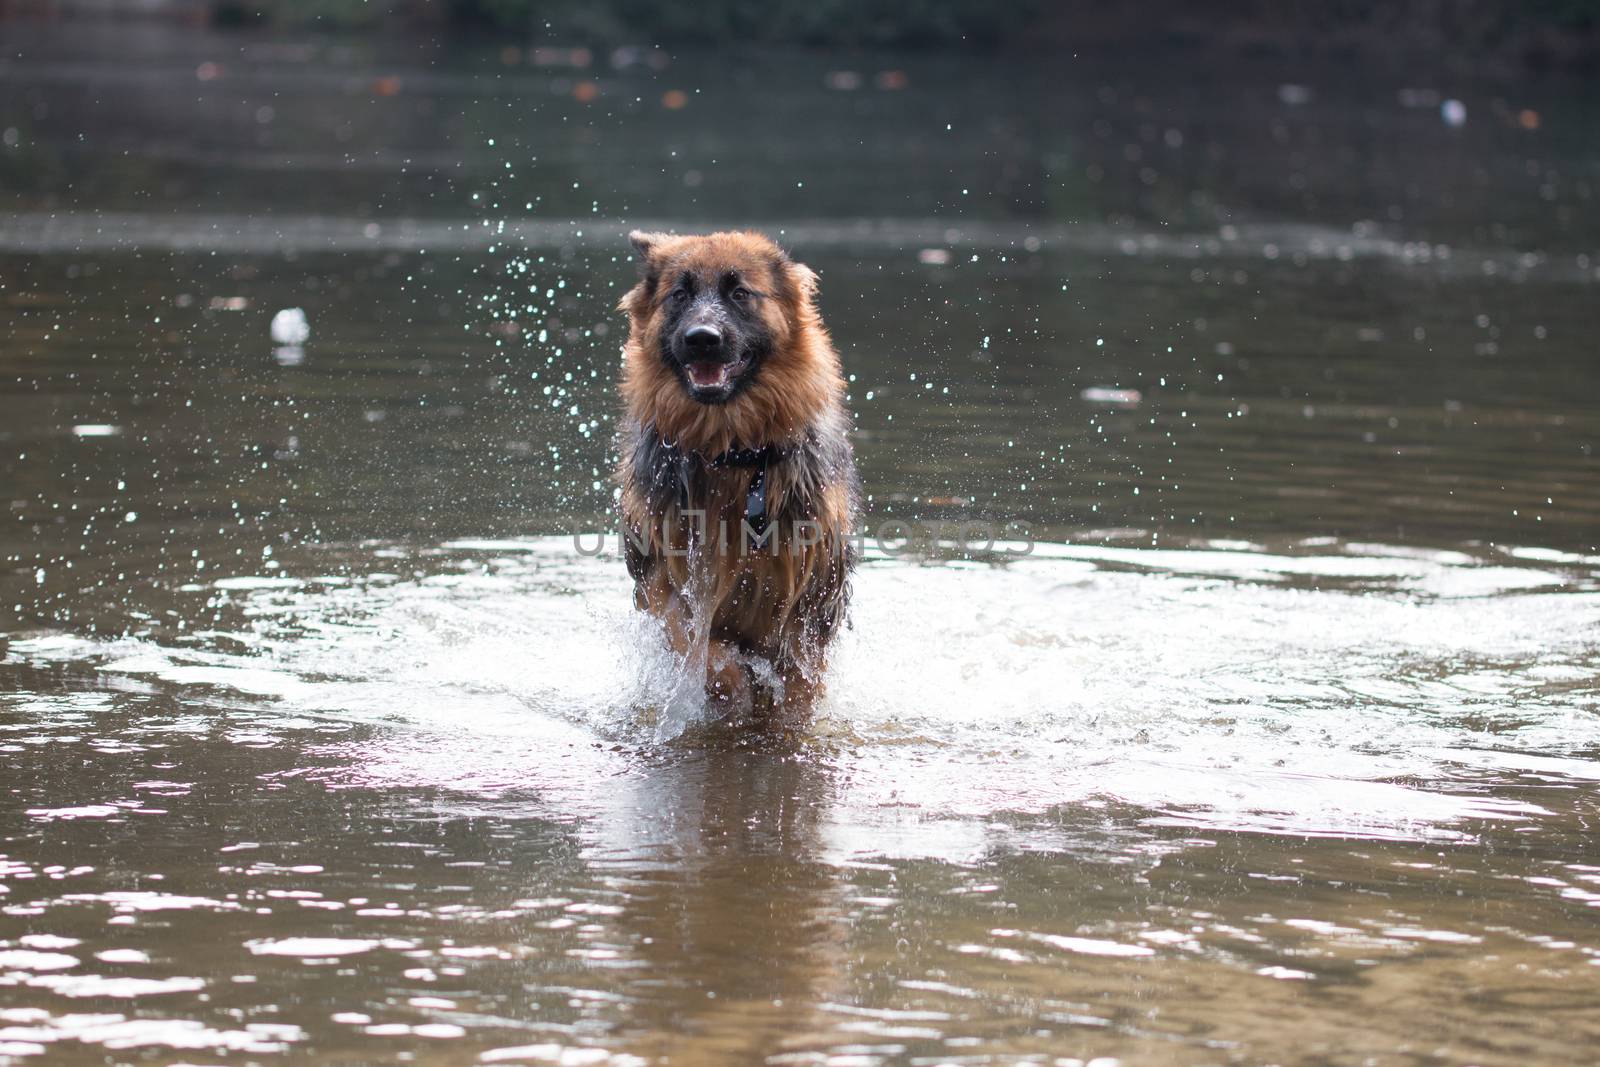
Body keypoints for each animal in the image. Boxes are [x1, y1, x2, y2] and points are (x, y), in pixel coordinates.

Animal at [614, 231, 864, 726]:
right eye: (679, 294)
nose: (702, 340)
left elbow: (797, 678)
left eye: (740, 293)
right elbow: (704, 649)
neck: (730, 454)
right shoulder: (664, 581)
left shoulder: (807, 602)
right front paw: (730, 685)